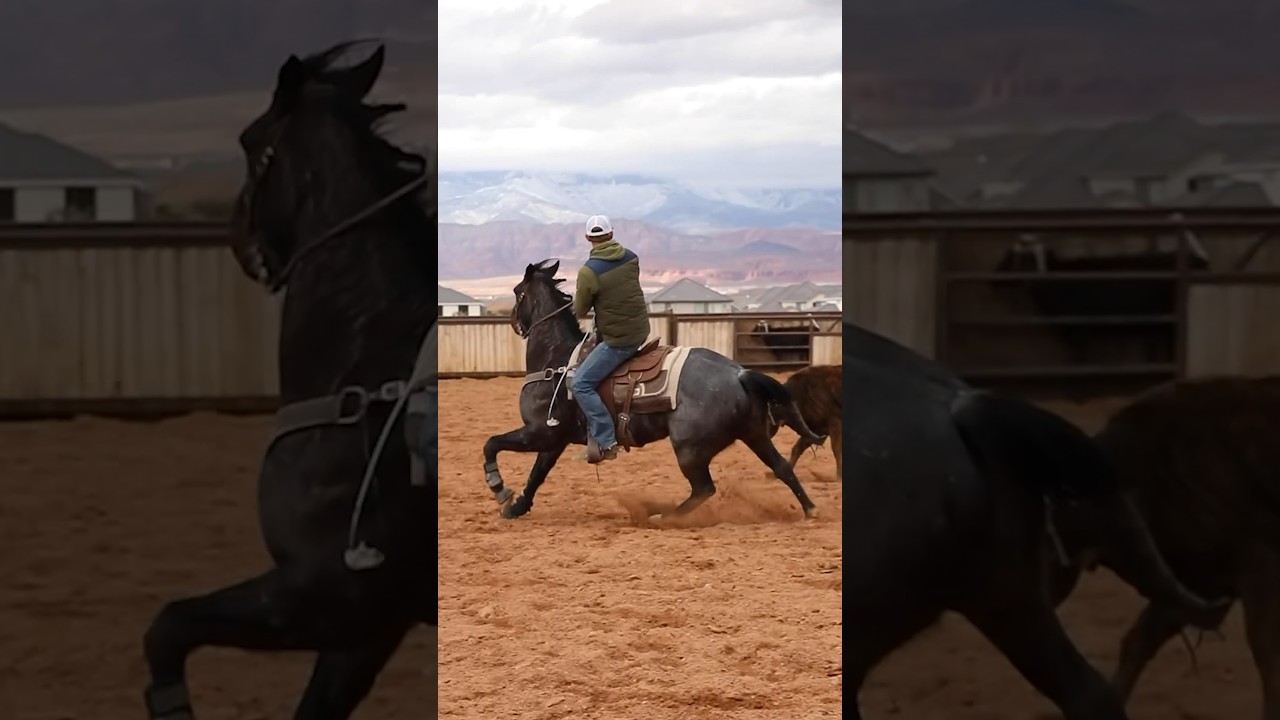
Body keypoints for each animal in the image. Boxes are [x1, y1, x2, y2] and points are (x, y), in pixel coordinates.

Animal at [480, 259, 825, 521]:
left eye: (518, 292)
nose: (514, 322)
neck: (558, 361)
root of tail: (738, 373)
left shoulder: (540, 432)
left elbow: (492, 444)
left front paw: (500, 489)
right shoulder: (554, 439)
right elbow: (537, 473)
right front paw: (517, 507)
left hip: (689, 448)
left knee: (704, 488)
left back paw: (664, 516)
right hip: (753, 434)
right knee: (781, 467)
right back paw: (810, 510)